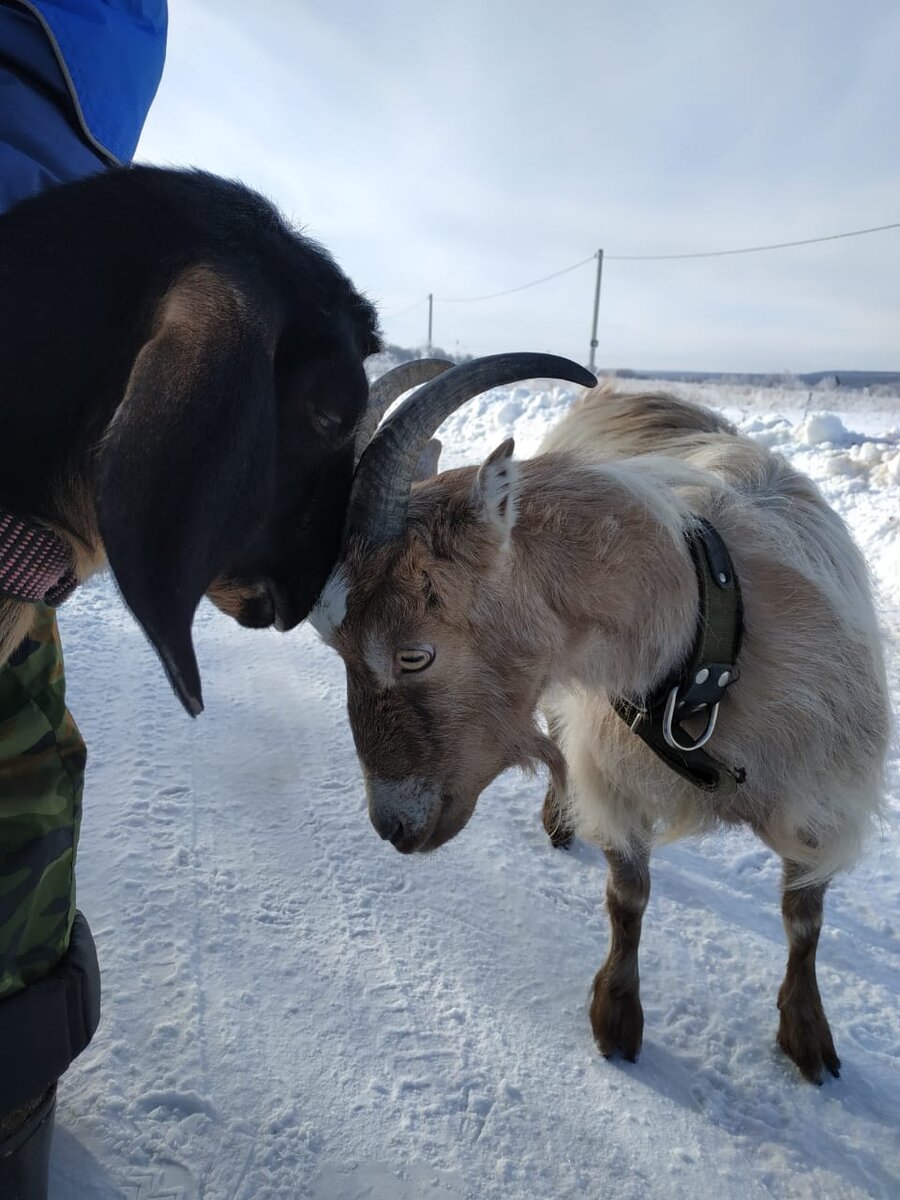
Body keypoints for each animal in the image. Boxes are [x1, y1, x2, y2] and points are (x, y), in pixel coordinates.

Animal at [314, 357, 892, 1089]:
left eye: (415, 653)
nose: (392, 827)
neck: (710, 646)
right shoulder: (613, 772)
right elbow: (628, 898)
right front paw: (616, 1019)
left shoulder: (822, 800)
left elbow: (804, 918)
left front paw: (809, 1036)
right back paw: (560, 819)